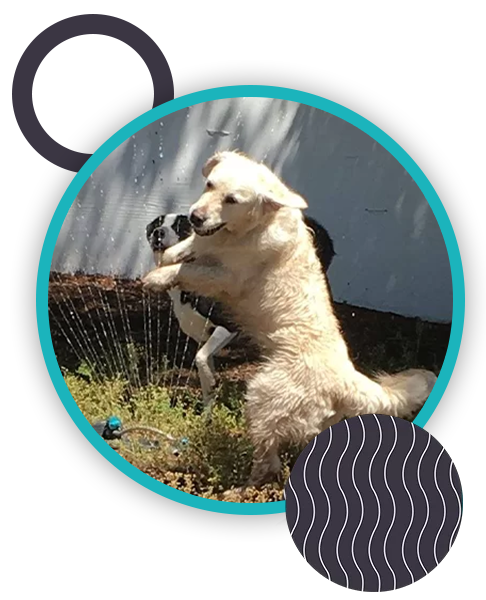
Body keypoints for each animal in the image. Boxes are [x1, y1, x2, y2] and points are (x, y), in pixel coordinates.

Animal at [144, 213, 334, 406]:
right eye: (157, 223)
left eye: (179, 226)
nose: (157, 232)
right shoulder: (204, 337)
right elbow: (205, 376)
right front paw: (208, 410)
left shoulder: (227, 327)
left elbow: (200, 357)